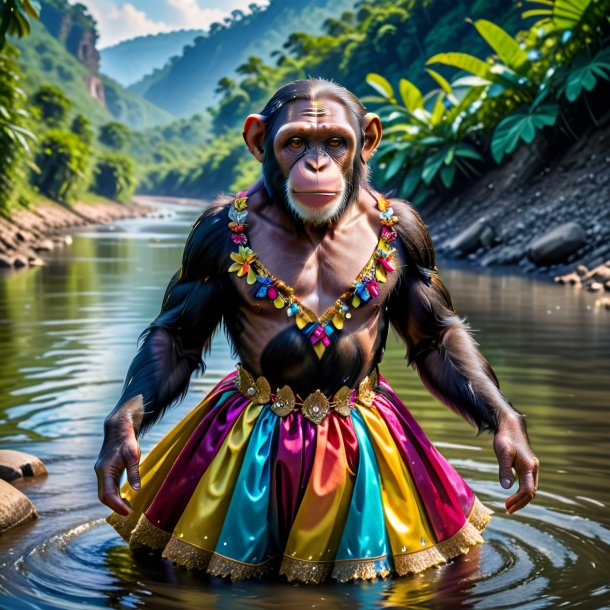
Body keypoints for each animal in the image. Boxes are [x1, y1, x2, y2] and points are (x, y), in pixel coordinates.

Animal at [95, 78, 536, 580]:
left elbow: (435, 335)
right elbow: (179, 337)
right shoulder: (208, 235)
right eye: (296, 142)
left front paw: (511, 436)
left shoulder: (411, 230)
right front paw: (120, 438)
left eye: (335, 142)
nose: (317, 164)